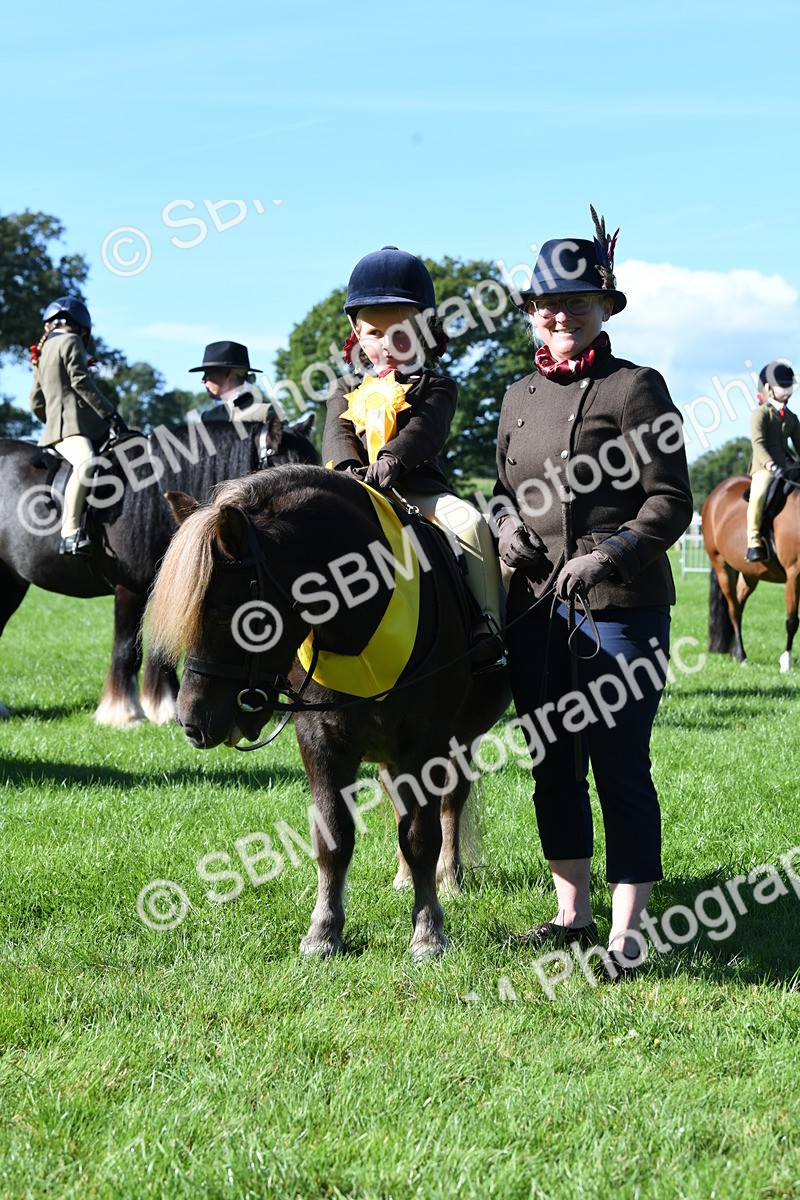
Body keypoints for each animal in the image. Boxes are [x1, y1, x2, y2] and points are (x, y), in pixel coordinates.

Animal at [146, 465, 511, 959]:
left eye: (225, 612)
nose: (191, 723)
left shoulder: (427, 741)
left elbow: (422, 835)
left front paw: (427, 932)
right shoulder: (321, 741)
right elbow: (333, 837)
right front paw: (323, 932)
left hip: (459, 739)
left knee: (451, 803)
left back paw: (448, 879)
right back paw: (403, 878)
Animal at [702, 463, 800, 671]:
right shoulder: (794, 573)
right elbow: (792, 620)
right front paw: (786, 662)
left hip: (750, 574)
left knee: (739, 603)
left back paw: (733, 650)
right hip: (722, 567)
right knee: (734, 610)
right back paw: (741, 655)